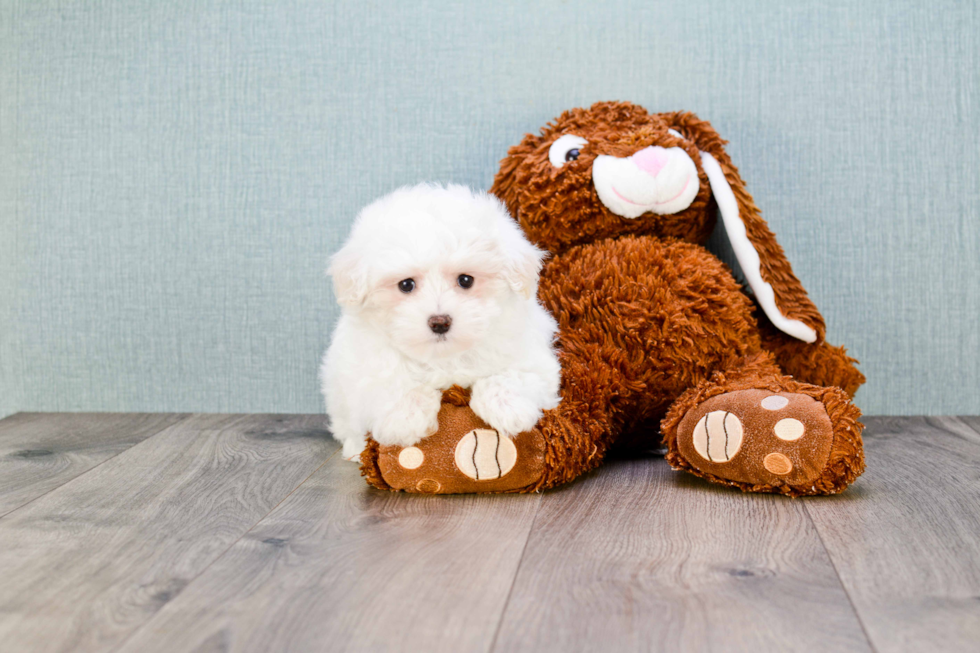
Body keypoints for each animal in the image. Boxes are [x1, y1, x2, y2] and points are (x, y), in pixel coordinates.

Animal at [322, 182, 564, 458]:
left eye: (466, 280)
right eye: (406, 285)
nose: (440, 322)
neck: (444, 357)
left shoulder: (534, 358)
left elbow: (515, 374)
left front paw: (507, 405)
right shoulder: (363, 366)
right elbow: (389, 380)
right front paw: (405, 418)